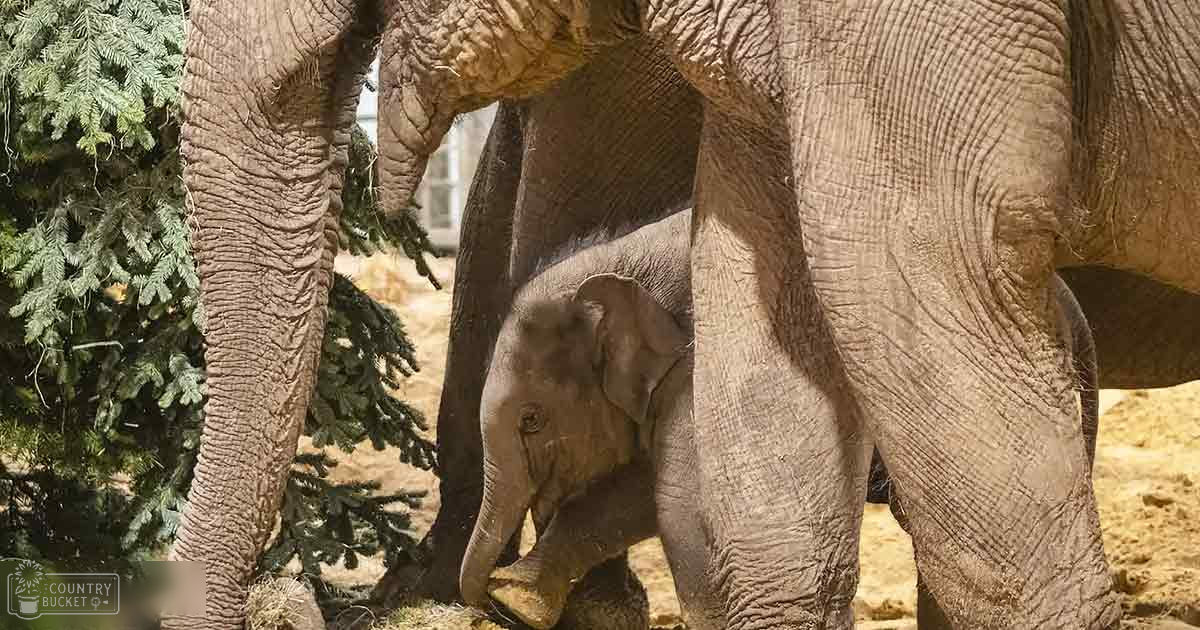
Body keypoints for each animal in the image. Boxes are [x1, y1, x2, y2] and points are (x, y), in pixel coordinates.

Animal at [461, 205, 1100, 630]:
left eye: (532, 420)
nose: (484, 600)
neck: (626, 261)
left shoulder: (703, 363)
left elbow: (675, 500)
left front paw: (516, 597)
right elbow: (643, 489)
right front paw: (522, 598)